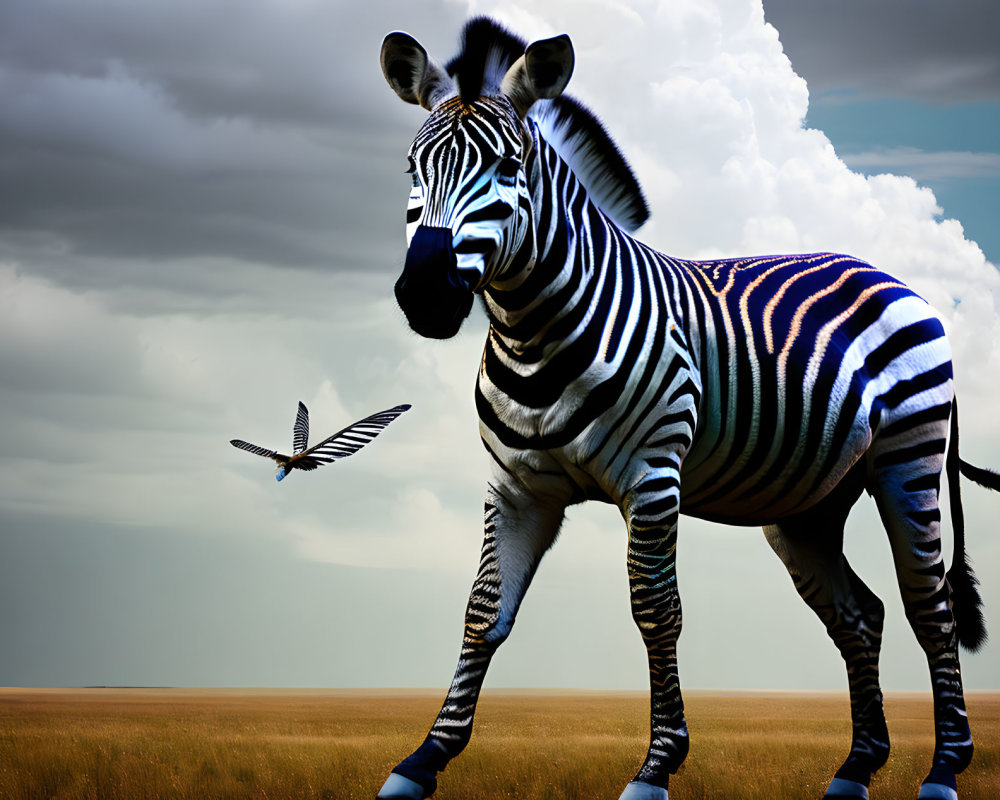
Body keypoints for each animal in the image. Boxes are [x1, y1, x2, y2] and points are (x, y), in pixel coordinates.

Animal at [374, 17, 992, 800]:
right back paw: (856, 766)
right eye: (412, 170)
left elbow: (655, 612)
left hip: (907, 460)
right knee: (862, 615)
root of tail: (885, 274)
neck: (532, 331)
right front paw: (422, 759)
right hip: (808, 505)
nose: (426, 294)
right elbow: (483, 612)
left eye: (510, 166)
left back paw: (944, 768)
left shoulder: (652, 479)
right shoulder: (517, 487)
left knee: (929, 610)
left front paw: (657, 766)